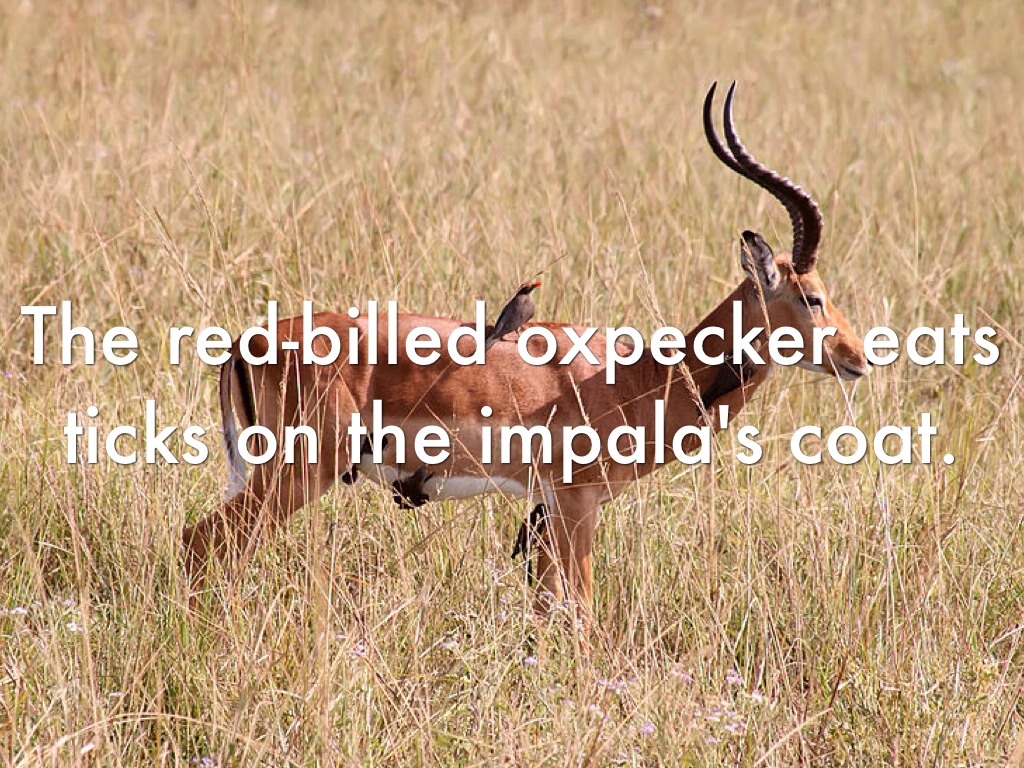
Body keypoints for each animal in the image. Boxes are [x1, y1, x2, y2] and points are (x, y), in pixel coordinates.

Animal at [181, 83, 870, 627]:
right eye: (812, 296)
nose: (858, 358)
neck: (634, 378)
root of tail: (245, 342)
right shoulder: (576, 505)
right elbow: (581, 613)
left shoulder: (546, 512)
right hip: (298, 473)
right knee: (201, 543)